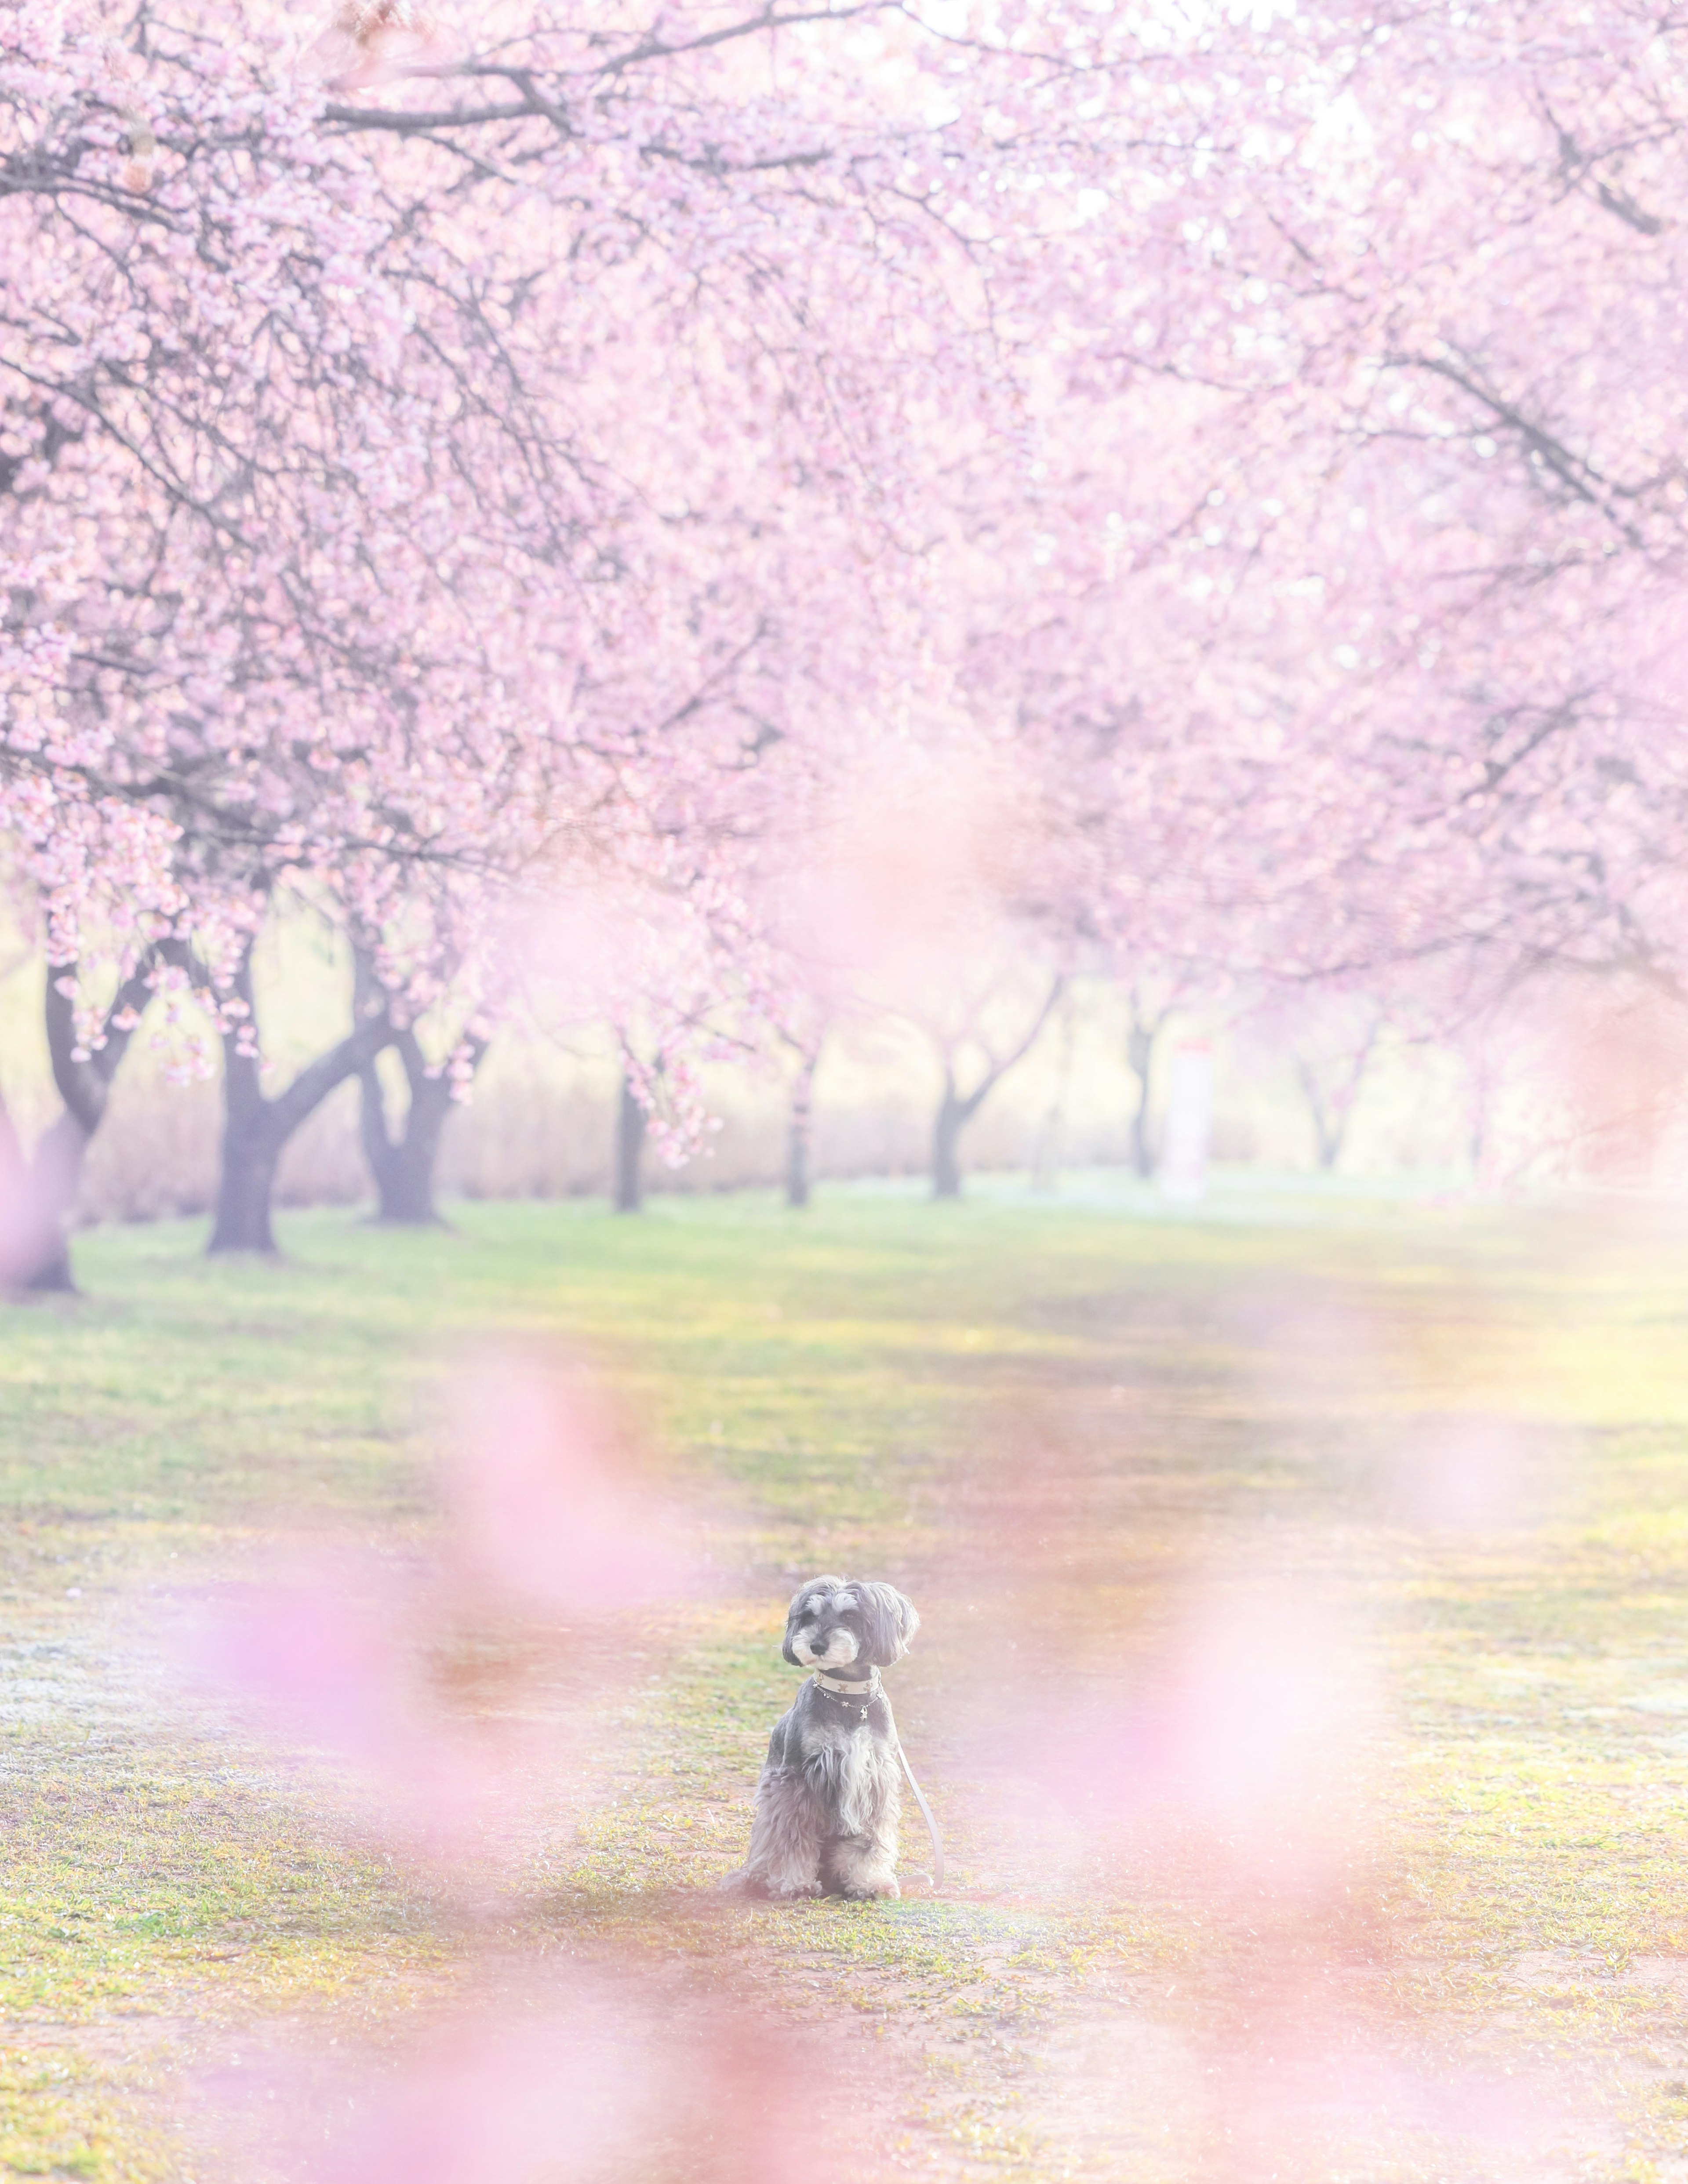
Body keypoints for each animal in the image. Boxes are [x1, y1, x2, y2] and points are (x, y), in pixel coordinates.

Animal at [720, 1572, 917, 1896]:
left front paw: (869, 1882)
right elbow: (791, 1837)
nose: (816, 1645)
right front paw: (794, 1883)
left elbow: (870, 1839)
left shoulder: (876, 1777)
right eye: (809, 1616)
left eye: (849, 1615)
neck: (848, 1698)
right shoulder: (795, 1779)